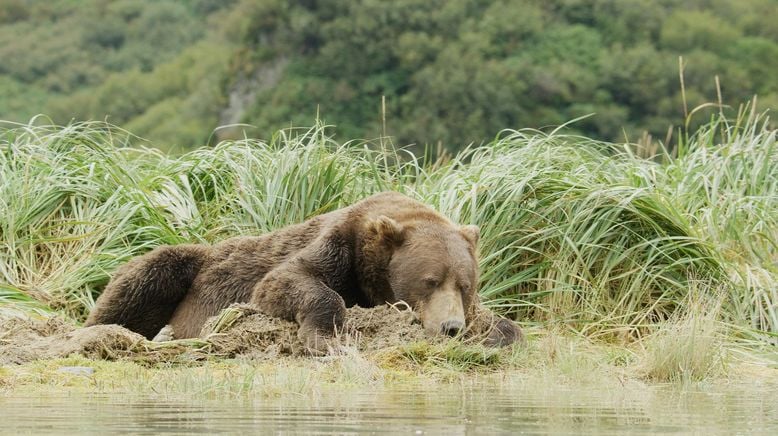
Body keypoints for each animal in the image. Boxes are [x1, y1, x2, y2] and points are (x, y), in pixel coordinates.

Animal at [85, 191, 520, 350]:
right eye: (429, 281)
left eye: (465, 285)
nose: (451, 326)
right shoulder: (337, 247)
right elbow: (286, 281)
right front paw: (325, 338)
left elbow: (505, 322)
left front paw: (497, 334)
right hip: (189, 265)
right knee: (144, 277)